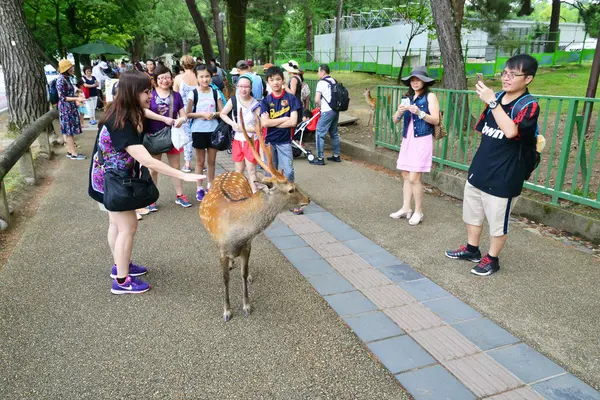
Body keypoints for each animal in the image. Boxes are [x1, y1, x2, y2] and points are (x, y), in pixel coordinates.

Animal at [202, 110, 312, 322]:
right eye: (291, 189)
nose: (308, 199)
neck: (236, 234)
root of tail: (230, 172)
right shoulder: (221, 249)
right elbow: (225, 279)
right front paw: (227, 311)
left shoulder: (247, 245)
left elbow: (244, 275)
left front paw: (246, 306)